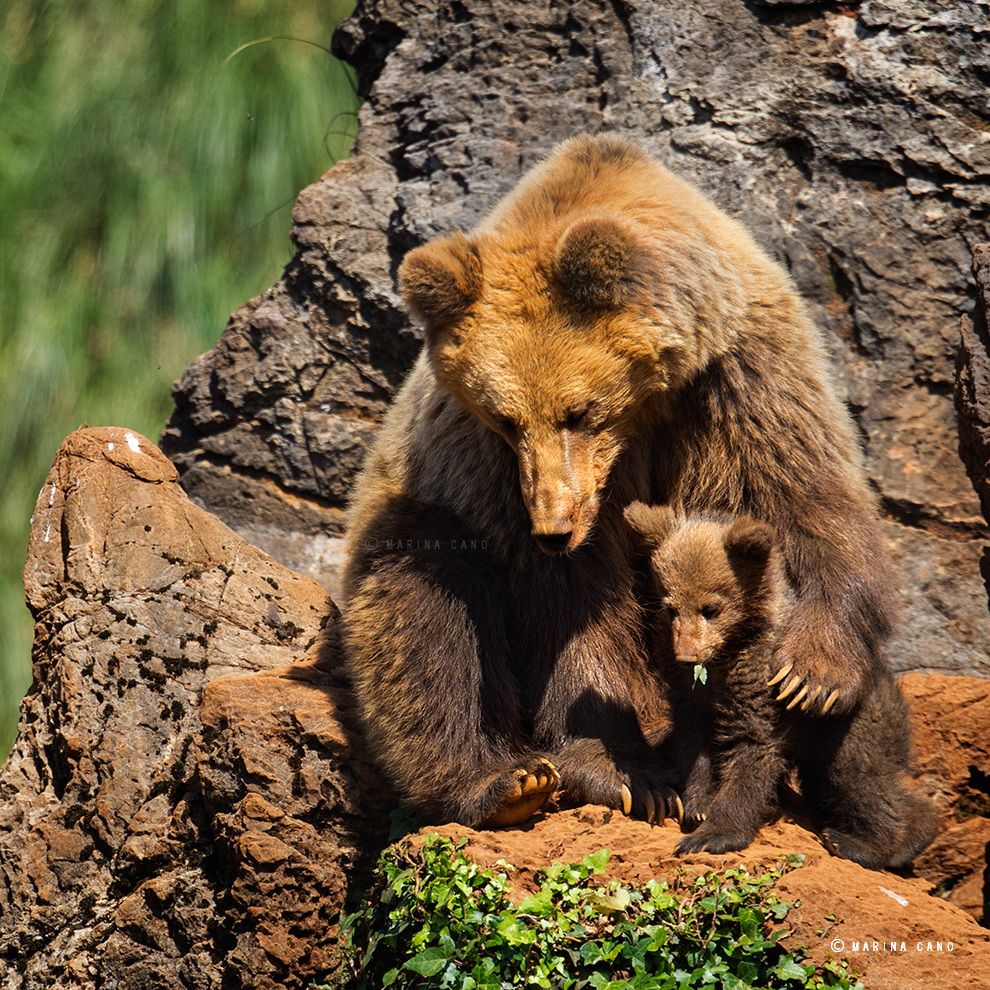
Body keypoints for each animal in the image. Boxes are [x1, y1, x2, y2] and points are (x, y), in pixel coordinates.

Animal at [340, 134, 900, 828]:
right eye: (505, 418)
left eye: (578, 411)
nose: (553, 526)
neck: (645, 410)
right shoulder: (497, 476)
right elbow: (574, 609)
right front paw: (630, 776)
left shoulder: (739, 378)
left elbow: (803, 492)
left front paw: (811, 674)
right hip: (424, 513)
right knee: (421, 603)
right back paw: (502, 781)